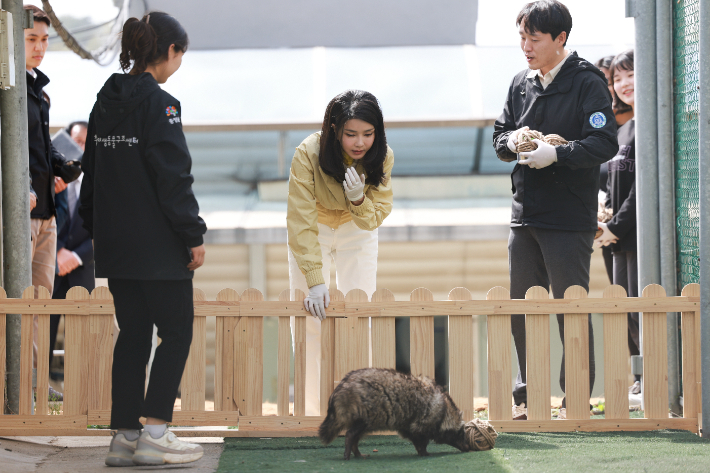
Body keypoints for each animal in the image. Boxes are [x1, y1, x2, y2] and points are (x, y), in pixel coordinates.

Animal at [320, 366, 470, 460]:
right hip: (366, 415)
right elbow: (421, 439)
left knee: (356, 436)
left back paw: (356, 451)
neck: (445, 411)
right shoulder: (424, 421)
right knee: (351, 434)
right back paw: (349, 448)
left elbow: (413, 436)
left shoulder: (407, 424)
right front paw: (423, 452)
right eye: (461, 434)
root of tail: (341, 386)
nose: (469, 448)